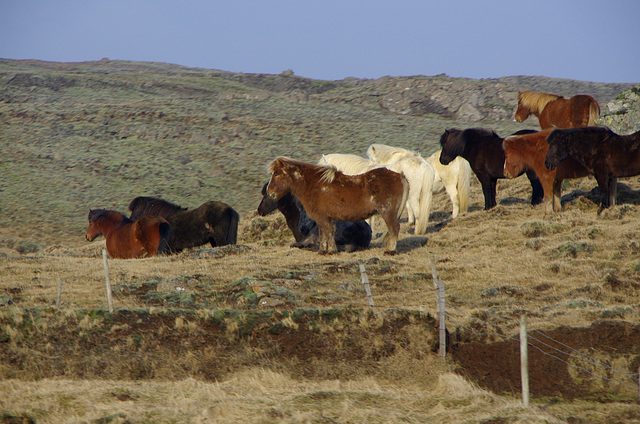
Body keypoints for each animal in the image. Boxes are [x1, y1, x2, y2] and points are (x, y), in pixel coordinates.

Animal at [266, 157, 410, 253]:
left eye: (277, 174)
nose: (269, 192)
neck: (314, 186)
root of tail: (399, 176)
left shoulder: (323, 218)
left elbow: (328, 232)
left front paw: (330, 250)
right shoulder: (321, 218)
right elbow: (323, 233)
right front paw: (323, 250)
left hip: (387, 212)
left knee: (394, 228)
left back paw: (390, 251)